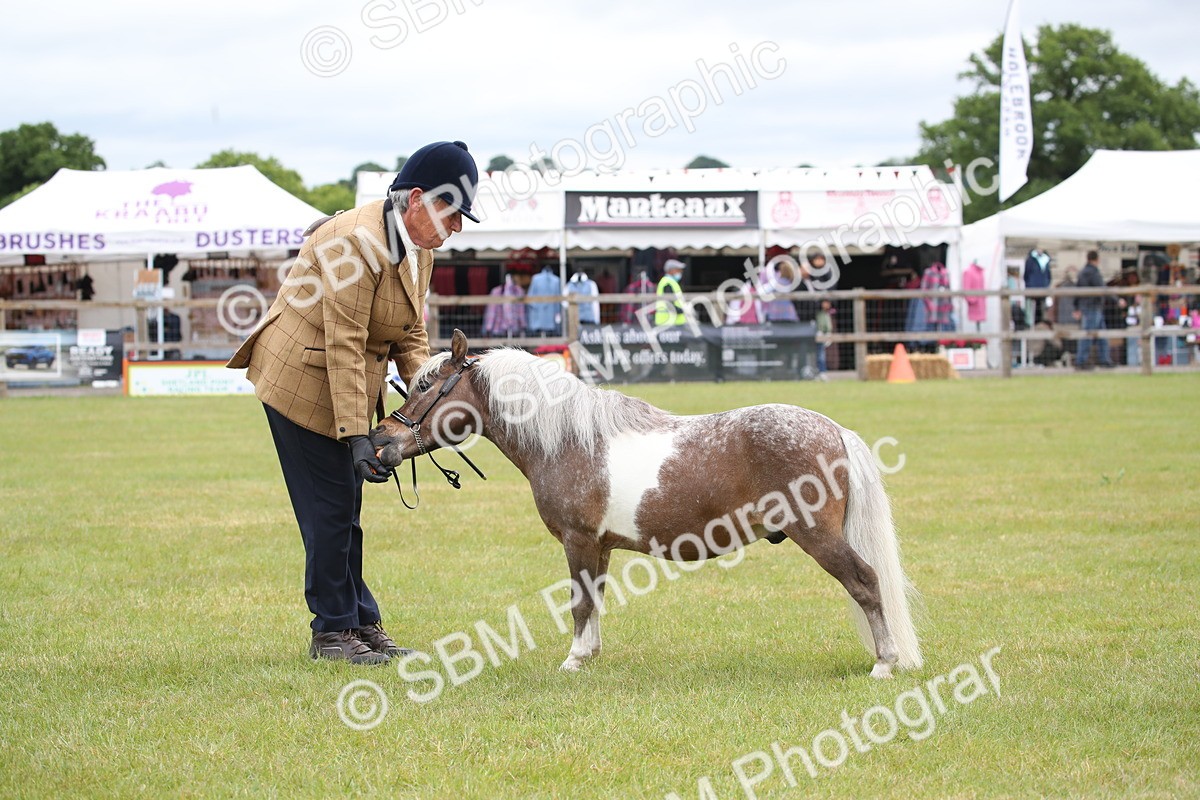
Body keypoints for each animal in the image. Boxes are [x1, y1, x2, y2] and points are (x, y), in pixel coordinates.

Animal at [371, 330, 922, 678]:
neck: (568, 440)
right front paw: (590, 655)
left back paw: (884, 663)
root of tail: (835, 430)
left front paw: (572, 660)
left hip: (820, 537)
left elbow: (579, 602)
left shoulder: (577, 541)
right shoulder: (601, 547)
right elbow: (594, 600)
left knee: (866, 582)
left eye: (426, 386)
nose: (381, 440)